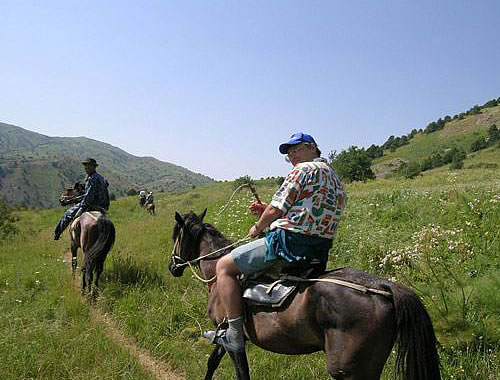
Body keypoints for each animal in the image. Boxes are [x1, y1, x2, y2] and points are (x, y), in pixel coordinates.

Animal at [168, 211, 442, 380]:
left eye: (175, 236)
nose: (172, 266)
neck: (217, 272)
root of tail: (384, 287)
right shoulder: (223, 337)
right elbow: (212, 363)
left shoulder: (232, 339)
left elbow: (240, 372)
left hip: (349, 371)